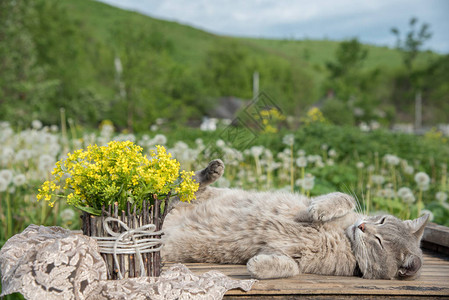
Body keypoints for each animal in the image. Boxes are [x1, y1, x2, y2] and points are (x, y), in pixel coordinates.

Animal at [163, 161, 428, 280]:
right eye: (381, 219)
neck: (344, 237)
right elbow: (345, 198)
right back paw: (212, 170)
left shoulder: (293, 257)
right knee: (184, 186)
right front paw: (320, 210)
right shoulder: (315, 203)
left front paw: (257, 266)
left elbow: (290, 268)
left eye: (379, 242)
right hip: (192, 195)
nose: (363, 226)